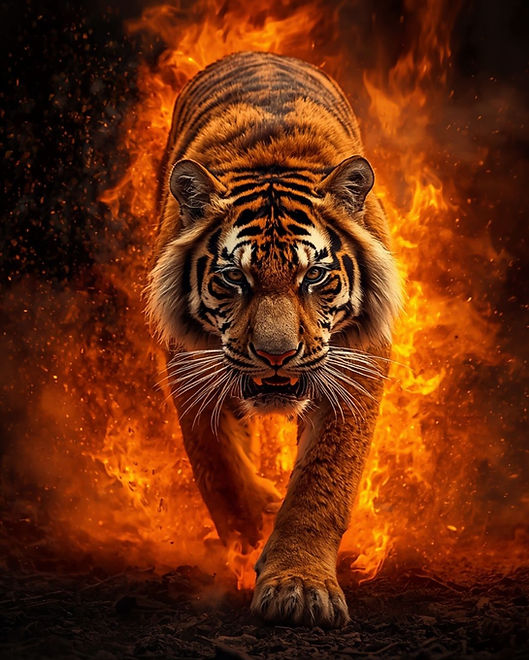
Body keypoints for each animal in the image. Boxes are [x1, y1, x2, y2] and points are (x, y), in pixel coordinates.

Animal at [146, 51, 401, 627]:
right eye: (233, 278)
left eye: (314, 276)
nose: (276, 355)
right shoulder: (189, 364)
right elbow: (219, 466)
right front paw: (250, 539)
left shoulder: (357, 366)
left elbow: (322, 484)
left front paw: (300, 589)